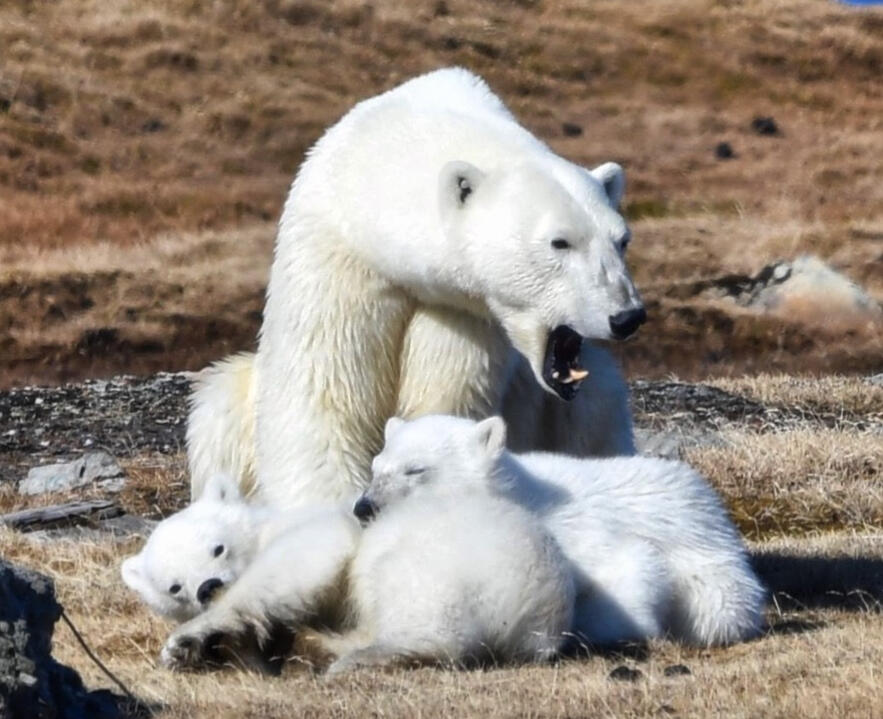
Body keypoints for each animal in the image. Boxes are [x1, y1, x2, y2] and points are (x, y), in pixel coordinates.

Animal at [155, 469, 574, 674]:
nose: (206, 587)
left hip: (460, 564)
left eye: (217, 547)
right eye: (174, 586)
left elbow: (298, 564)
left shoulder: (323, 531)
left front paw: (184, 642)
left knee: (417, 604)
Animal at [186, 66, 644, 505]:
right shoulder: (339, 259)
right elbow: (322, 398)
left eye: (622, 240)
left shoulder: (460, 312)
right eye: (560, 242)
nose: (627, 316)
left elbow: (446, 401)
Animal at [362, 414, 767, 647]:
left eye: (416, 469)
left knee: (719, 608)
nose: (364, 507)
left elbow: (629, 569)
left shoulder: (581, 532)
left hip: (714, 569)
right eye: (376, 467)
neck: (523, 495)